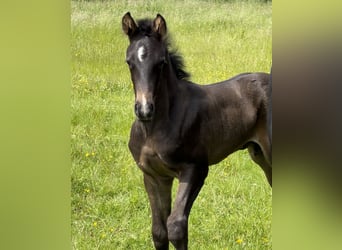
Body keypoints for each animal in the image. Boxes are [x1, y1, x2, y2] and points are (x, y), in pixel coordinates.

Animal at [121, 12, 272, 250]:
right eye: (129, 62)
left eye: (161, 63)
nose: (144, 109)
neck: (153, 129)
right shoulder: (154, 175)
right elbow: (159, 231)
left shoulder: (196, 169)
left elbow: (176, 226)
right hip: (260, 155)